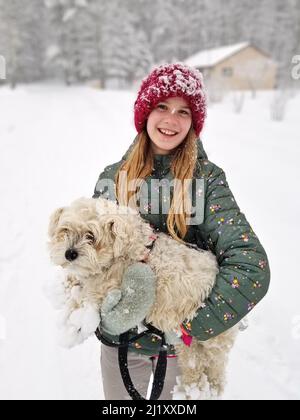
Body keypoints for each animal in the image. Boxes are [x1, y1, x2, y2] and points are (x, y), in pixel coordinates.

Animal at [48, 197, 238, 400]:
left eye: (91, 236)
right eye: (65, 230)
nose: (69, 253)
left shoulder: (105, 286)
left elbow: (84, 297)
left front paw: (73, 323)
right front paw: (62, 286)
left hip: (201, 340)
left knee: (206, 368)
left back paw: (194, 391)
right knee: (204, 368)